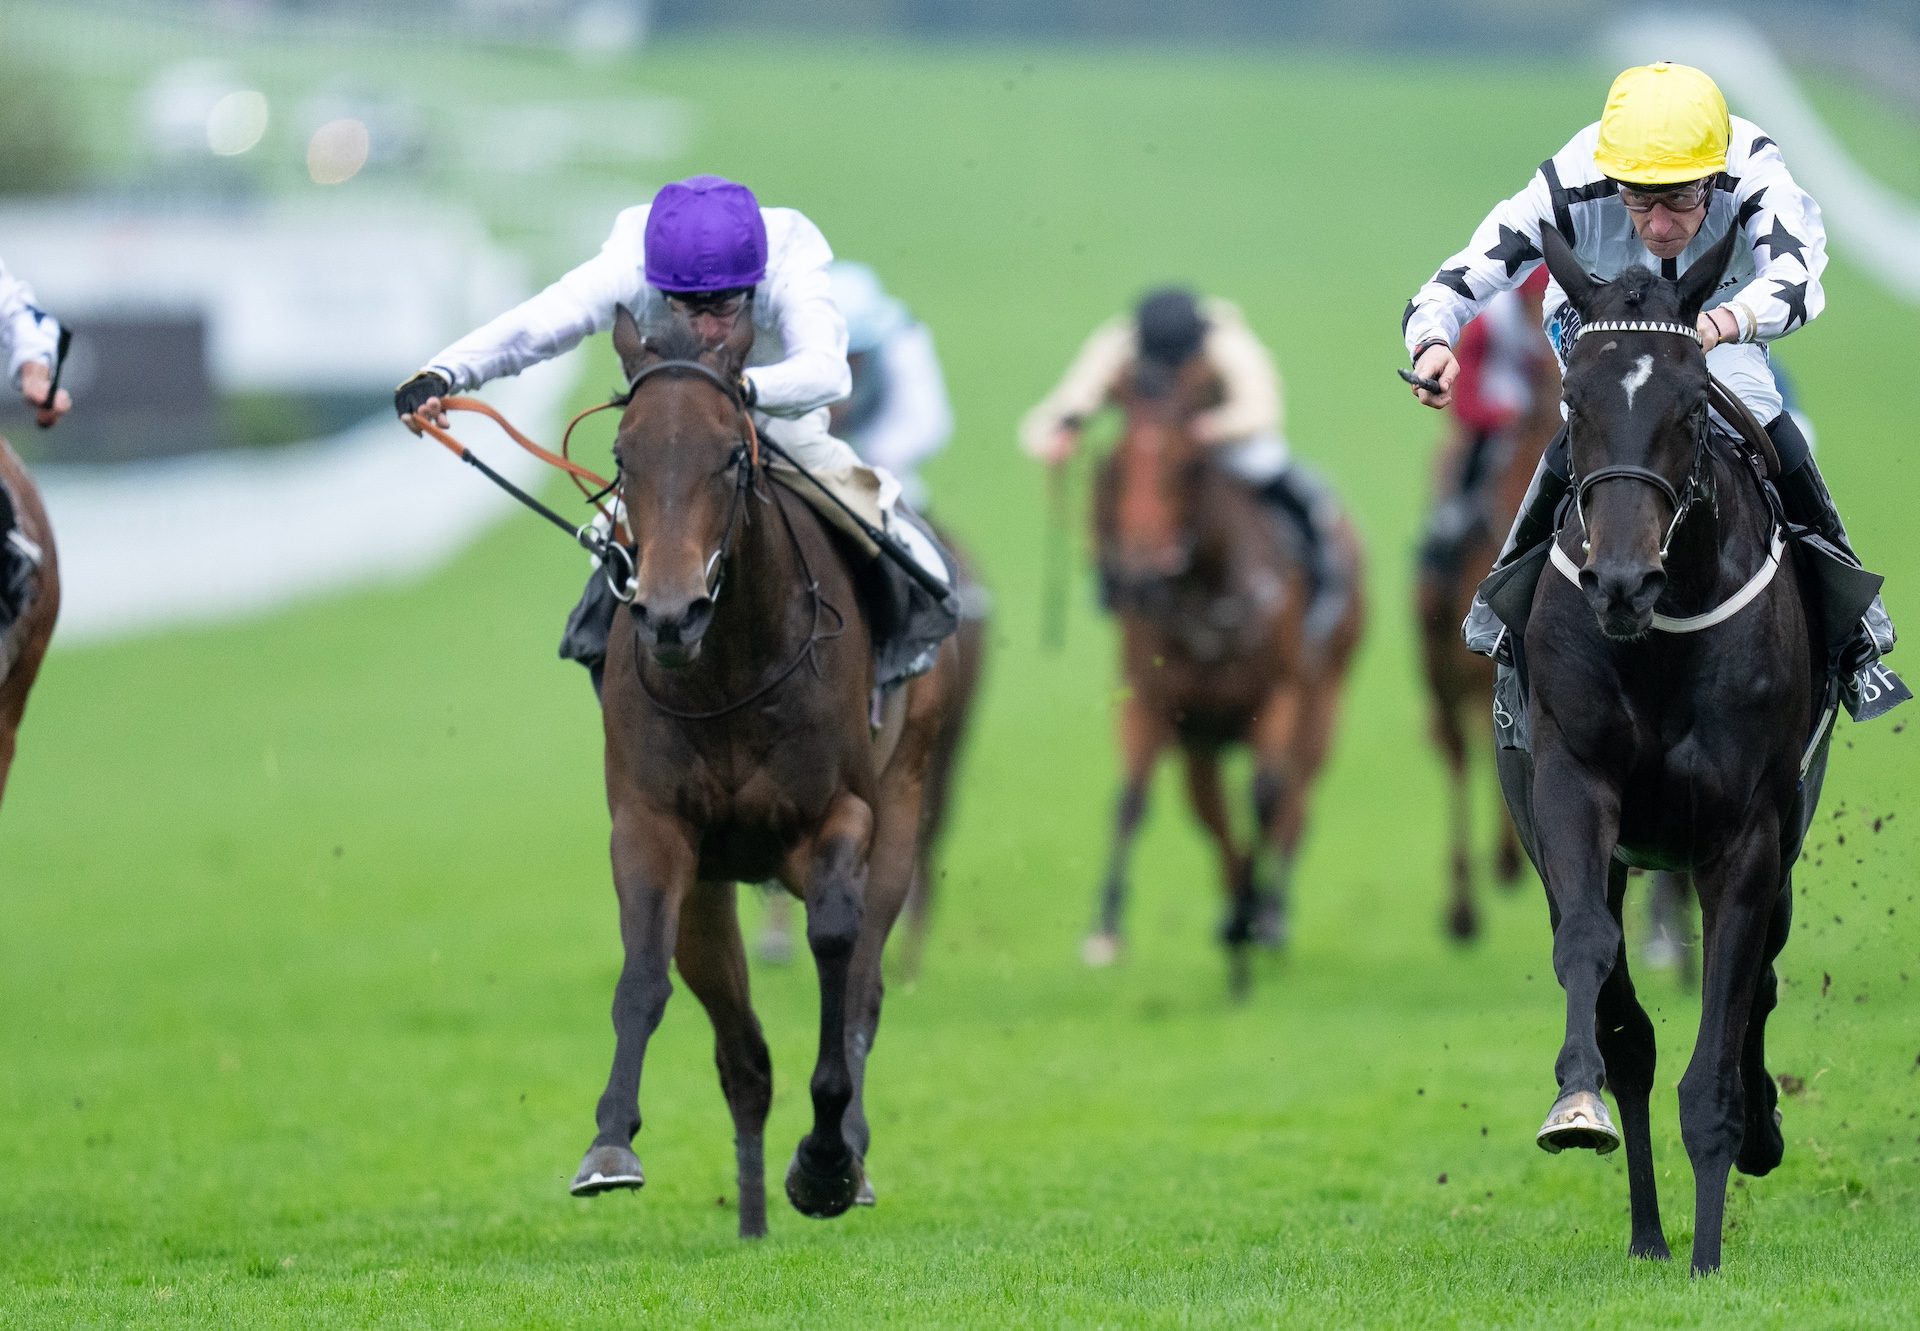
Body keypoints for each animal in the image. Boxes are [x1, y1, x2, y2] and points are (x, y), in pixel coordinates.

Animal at [568, 309, 960, 1236]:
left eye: (730, 455)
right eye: (624, 453)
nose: (670, 613)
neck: (727, 673)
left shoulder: (839, 818)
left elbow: (836, 950)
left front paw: (825, 1158)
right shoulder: (654, 827)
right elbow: (644, 973)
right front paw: (610, 1141)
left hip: (907, 797)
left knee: (864, 987)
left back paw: (846, 1156)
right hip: (711, 889)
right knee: (742, 1056)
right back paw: (749, 1219)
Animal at [1082, 359, 1367, 991]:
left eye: (1186, 465)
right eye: (1116, 465)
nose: (1140, 575)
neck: (1208, 595)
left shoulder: (1280, 697)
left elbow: (1266, 796)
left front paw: (1253, 921)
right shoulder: (1162, 708)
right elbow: (1135, 800)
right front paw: (1107, 930)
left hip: (1325, 704)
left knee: (1295, 804)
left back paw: (1271, 915)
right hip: (1203, 742)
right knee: (1215, 812)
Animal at [1489, 222, 1820, 1275]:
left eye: (1690, 403)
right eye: (1574, 403)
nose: (1622, 581)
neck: (1663, 637)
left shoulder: (1748, 833)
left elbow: (1723, 1028)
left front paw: (1712, 1244)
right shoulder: (1568, 787)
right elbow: (1595, 962)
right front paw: (1575, 1102)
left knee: (1761, 978)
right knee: (1632, 1026)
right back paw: (1645, 1232)